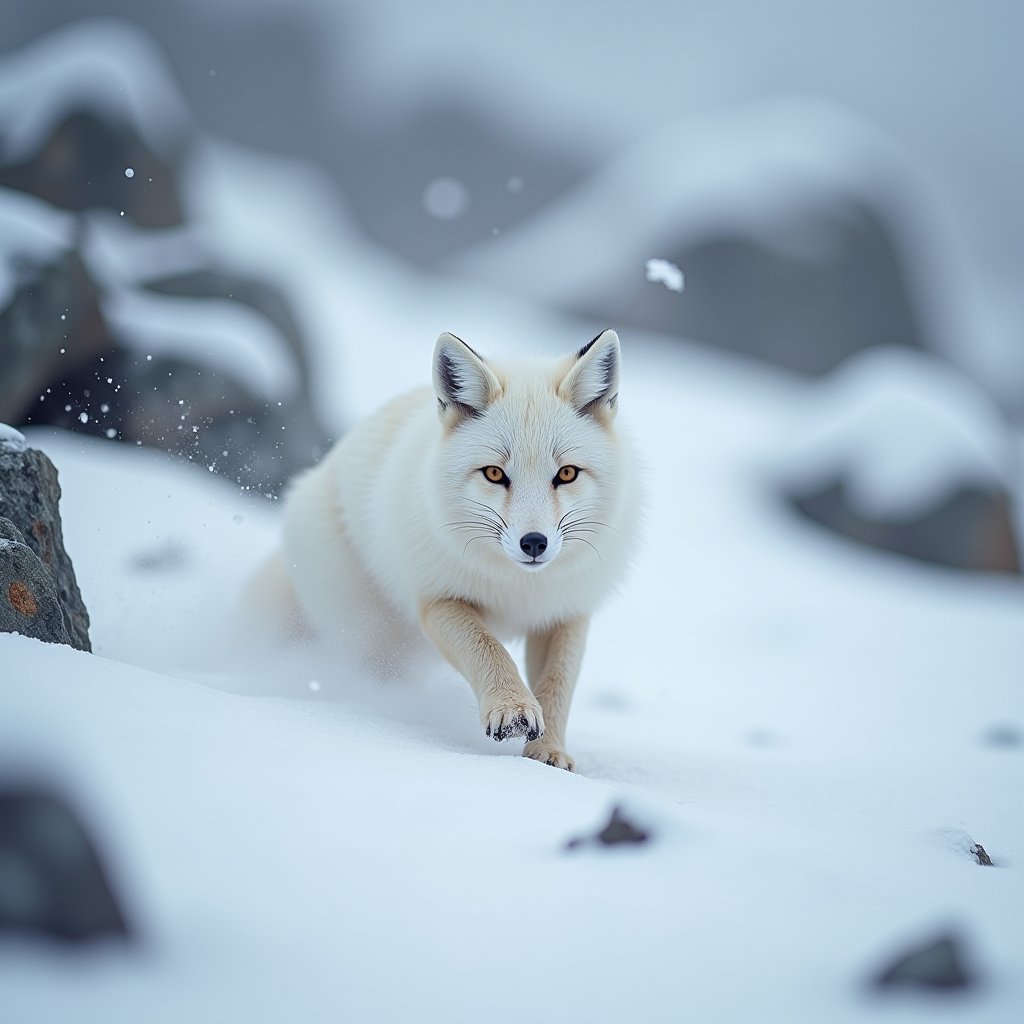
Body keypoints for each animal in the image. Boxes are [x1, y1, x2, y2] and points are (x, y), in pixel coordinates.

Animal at [250, 328, 640, 771]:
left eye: (567, 473)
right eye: (494, 474)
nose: (534, 543)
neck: (520, 588)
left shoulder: (564, 612)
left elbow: (557, 684)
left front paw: (548, 752)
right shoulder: (438, 599)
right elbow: (488, 650)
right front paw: (512, 707)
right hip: (371, 637)